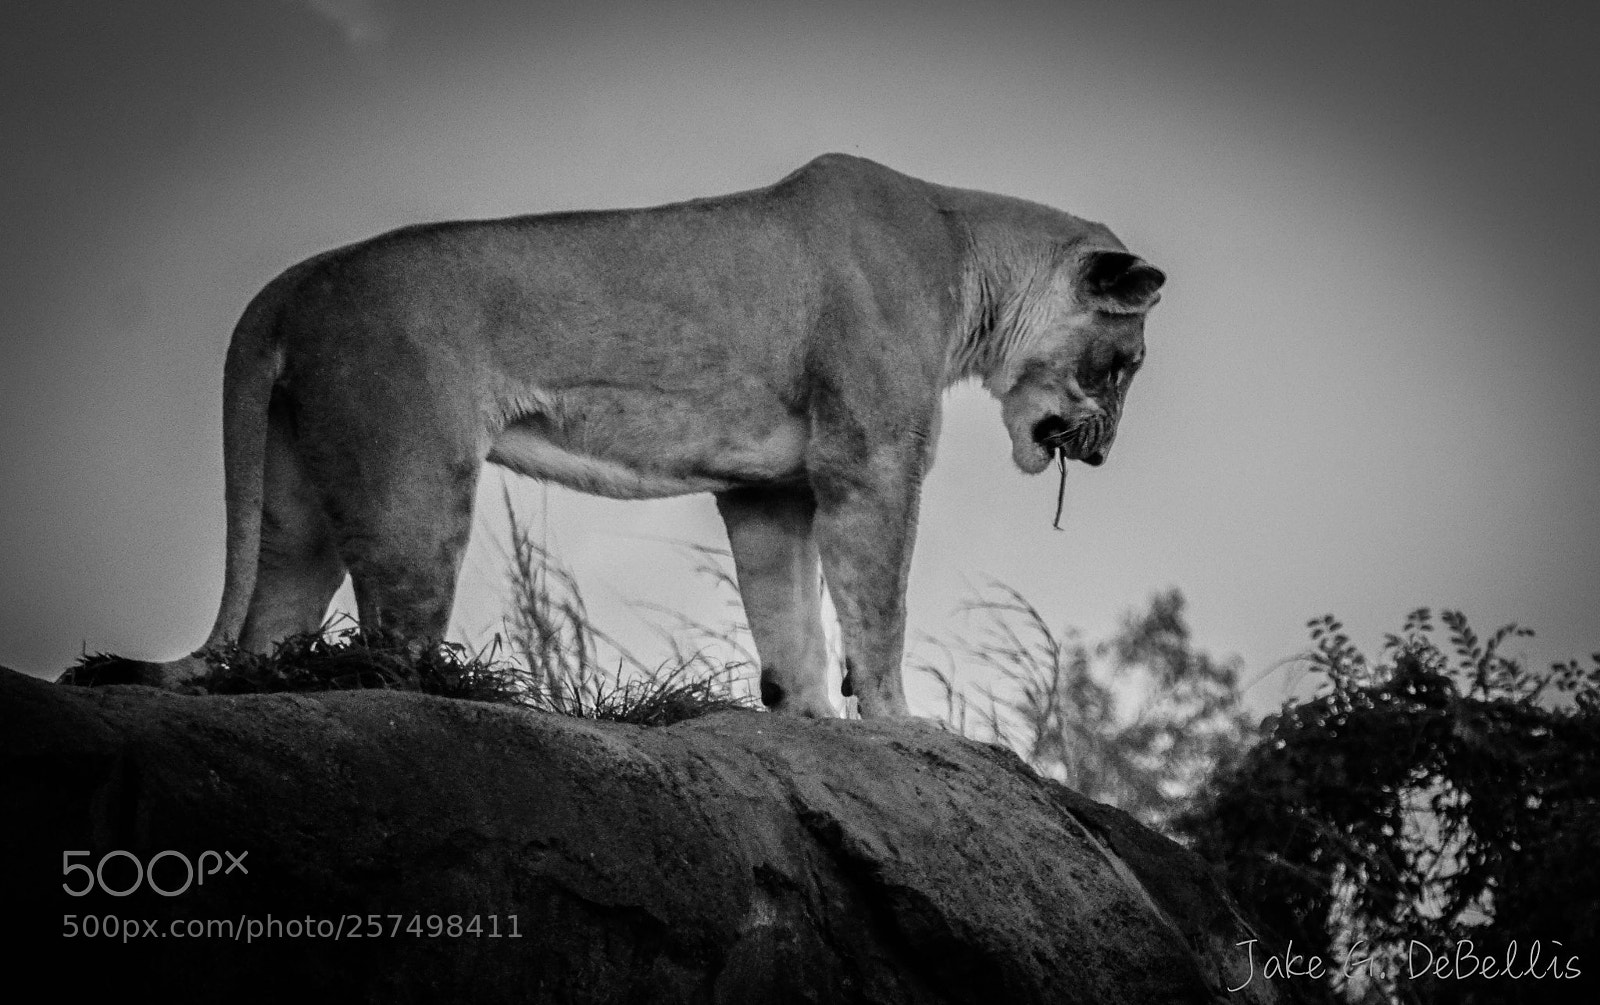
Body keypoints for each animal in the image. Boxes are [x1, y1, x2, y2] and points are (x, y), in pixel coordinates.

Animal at [123, 154, 1164, 718]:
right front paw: (906, 729)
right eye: (1125, 365)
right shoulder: (873, 462)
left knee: (269, 637)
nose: (1104, 452)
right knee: (383, 654)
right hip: (413, 490)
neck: (968, 258)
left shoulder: (770, 487)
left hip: (297, 504)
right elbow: (879, 614)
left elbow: (792, 624)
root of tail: (288, 284)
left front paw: (814, 723)